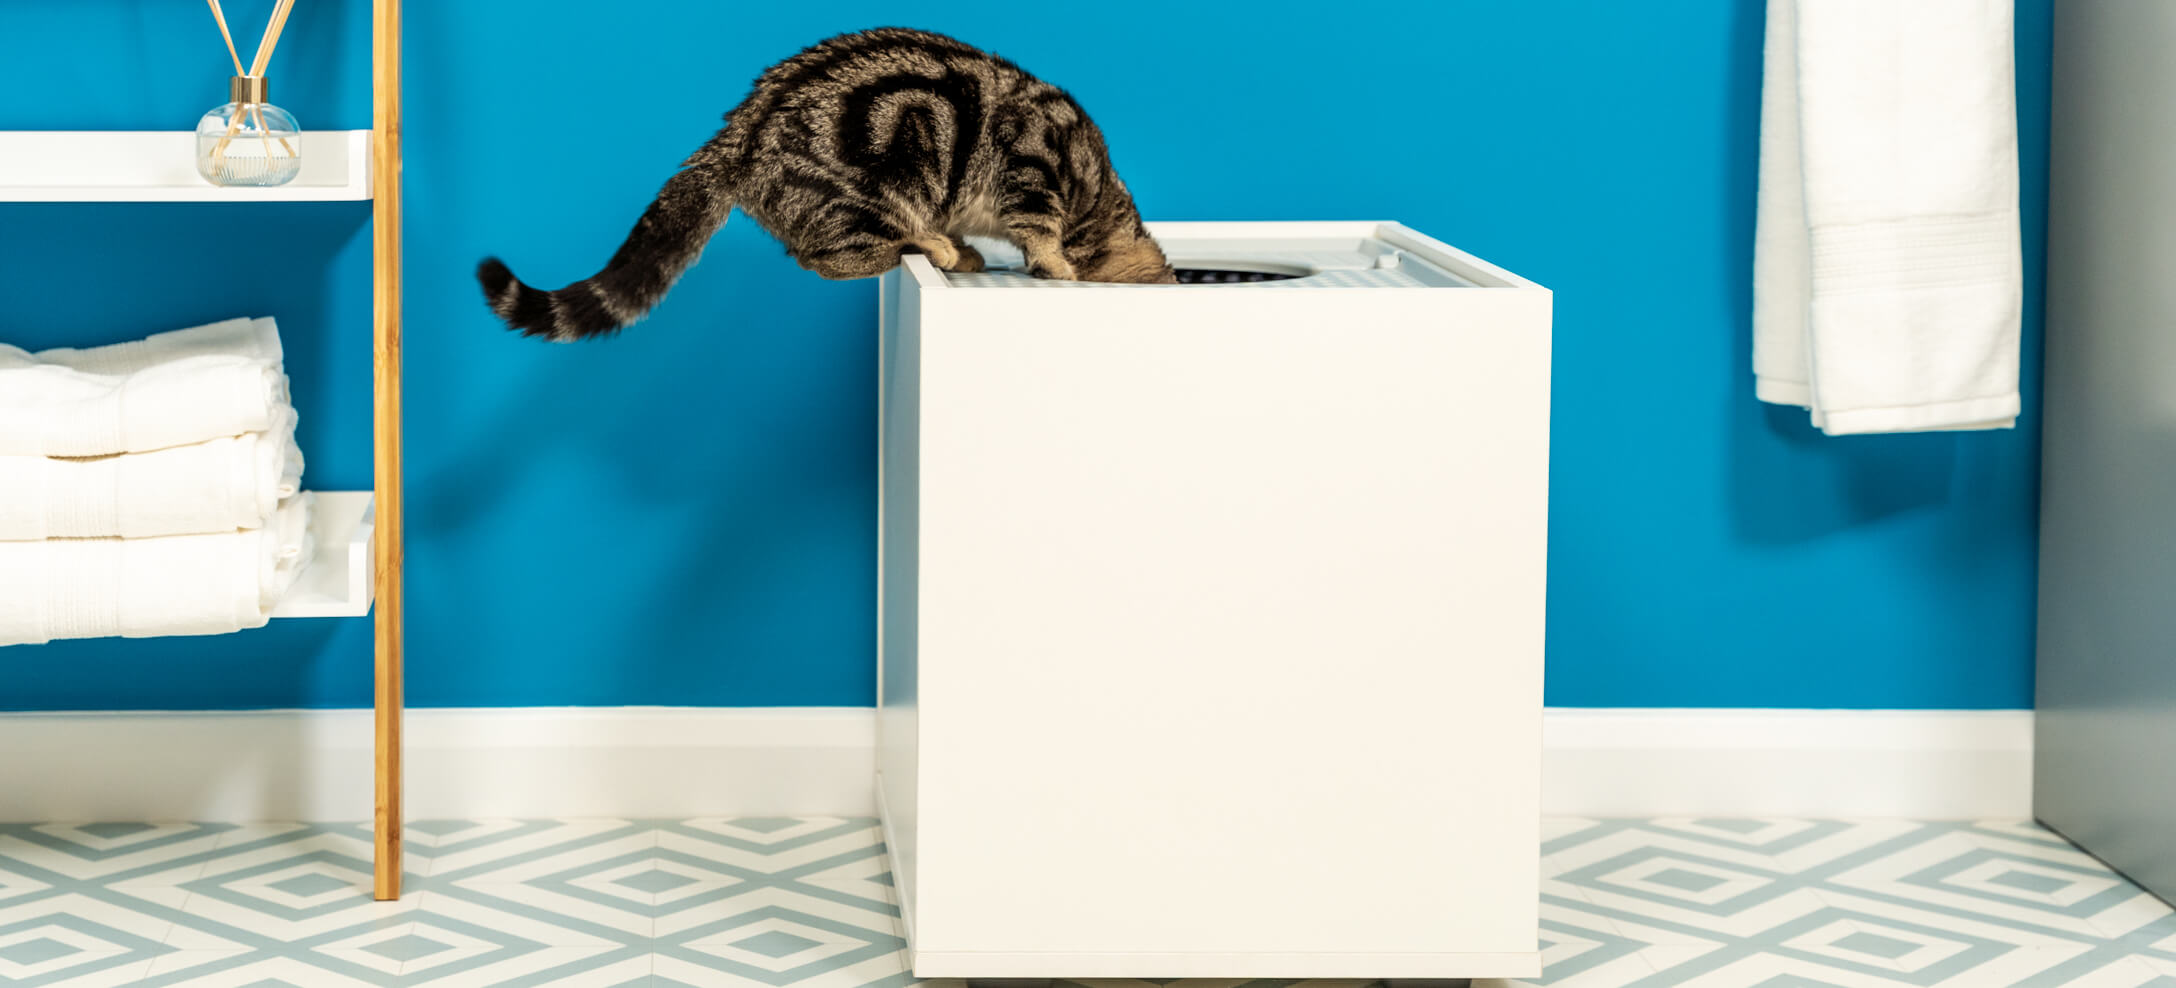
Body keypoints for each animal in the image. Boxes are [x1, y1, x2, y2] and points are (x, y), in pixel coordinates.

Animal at [476, 27, 1175, 343]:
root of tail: (736, 134)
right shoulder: (1032, 165)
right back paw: (922, 246)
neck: (1098, 193)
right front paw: (1054, 263)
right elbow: (1042, 230)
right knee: (829, 259)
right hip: (885, 178)